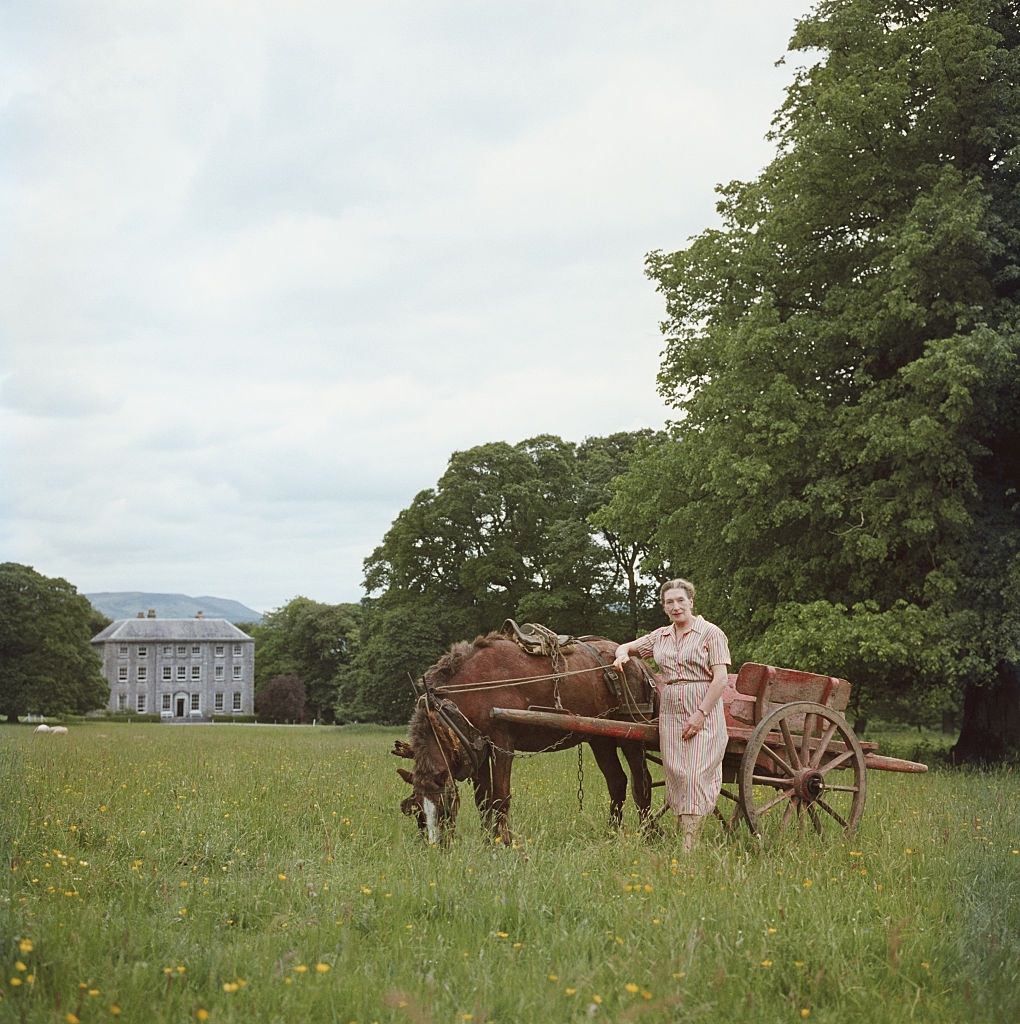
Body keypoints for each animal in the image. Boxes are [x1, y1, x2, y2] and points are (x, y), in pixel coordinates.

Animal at [395, 634, 651, 843]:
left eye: (445, 805)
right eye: (417, 810)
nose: (436, 846)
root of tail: (636, 661)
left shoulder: (502, 744)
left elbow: (500, 796)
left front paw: (504, 842)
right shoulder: (477, 748)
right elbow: (482, 799)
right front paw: (488, 841)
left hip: (630, 733)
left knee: (642, 782)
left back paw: (648, 834)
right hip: (601, 738)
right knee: (617, 782)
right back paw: (612, 834)